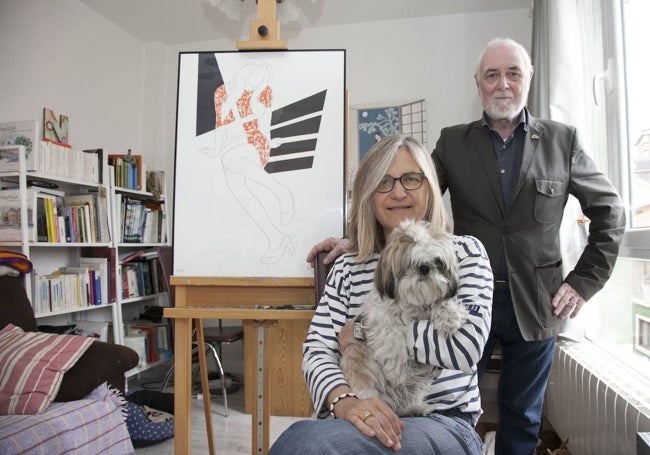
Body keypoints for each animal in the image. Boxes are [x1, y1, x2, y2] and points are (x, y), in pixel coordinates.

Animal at [340, 220, 466, 416]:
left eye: (437, 262)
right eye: (411, 262)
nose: (424, 268)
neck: (415, 305)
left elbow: (442, 304)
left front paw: (449, 316)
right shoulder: (380, 319)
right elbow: (392, 339)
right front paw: (396, 371)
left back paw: (415, 408)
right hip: (362, 373)